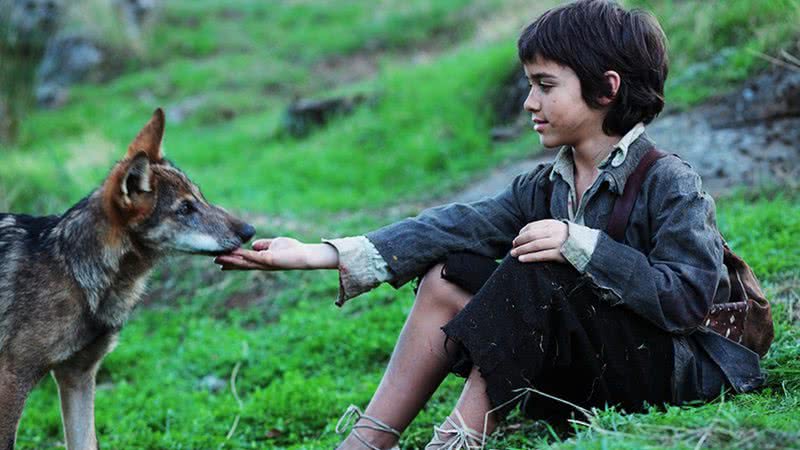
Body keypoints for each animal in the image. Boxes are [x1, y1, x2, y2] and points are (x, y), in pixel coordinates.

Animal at [0, 107, 253, 448]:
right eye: (185, 209)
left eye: (200, 198)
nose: (250, 230)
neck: (73, 272)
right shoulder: (13, 379)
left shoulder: (78, 375)